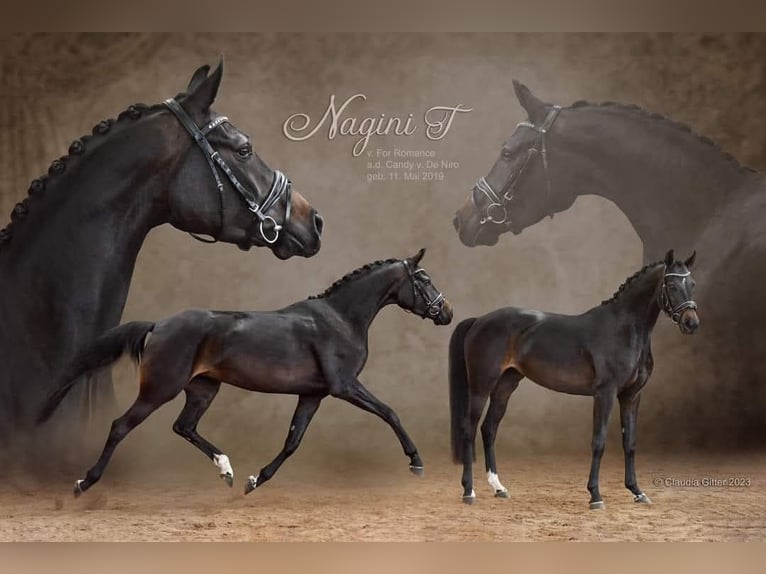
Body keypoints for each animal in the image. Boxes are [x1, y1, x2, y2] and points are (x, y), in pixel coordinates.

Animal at [37, 248, 453, 496]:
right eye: (424, 278)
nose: (446, 312)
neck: (340, 319)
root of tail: (159, 324)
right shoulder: (344, 385)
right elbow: (390, 412)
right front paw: (416, 461)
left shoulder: (313, 394)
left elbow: (293, 441)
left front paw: (256, 480)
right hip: (160, 389)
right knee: (120, 426)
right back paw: (84, 482)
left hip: (203, 389)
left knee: (183, 427)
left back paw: (227, 470)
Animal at [448, 250, 698, 507]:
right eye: (671, 284)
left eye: (692, 283)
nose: (691, 322)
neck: (624, 330)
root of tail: (479, 320)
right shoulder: (605, 393)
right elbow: (598, 442)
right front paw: (595, 495)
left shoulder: (631, 396)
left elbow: (630, 443)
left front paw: (637, 492)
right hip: (481, 386)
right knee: (469, 430)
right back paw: (469, 491)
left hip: (505, 386)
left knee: (489, 429)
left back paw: (498, 487)